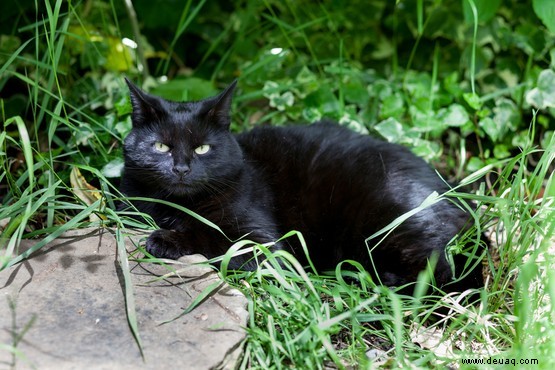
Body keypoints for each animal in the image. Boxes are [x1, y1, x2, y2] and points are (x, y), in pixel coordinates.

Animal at [119, 79, 484, 290]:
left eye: (202, 148)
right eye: (161, 146)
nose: (180, 168)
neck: (181, 203)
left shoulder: (263, 242)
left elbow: (215, 239)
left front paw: (165, 239)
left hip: (392, 225)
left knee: (441, 279)